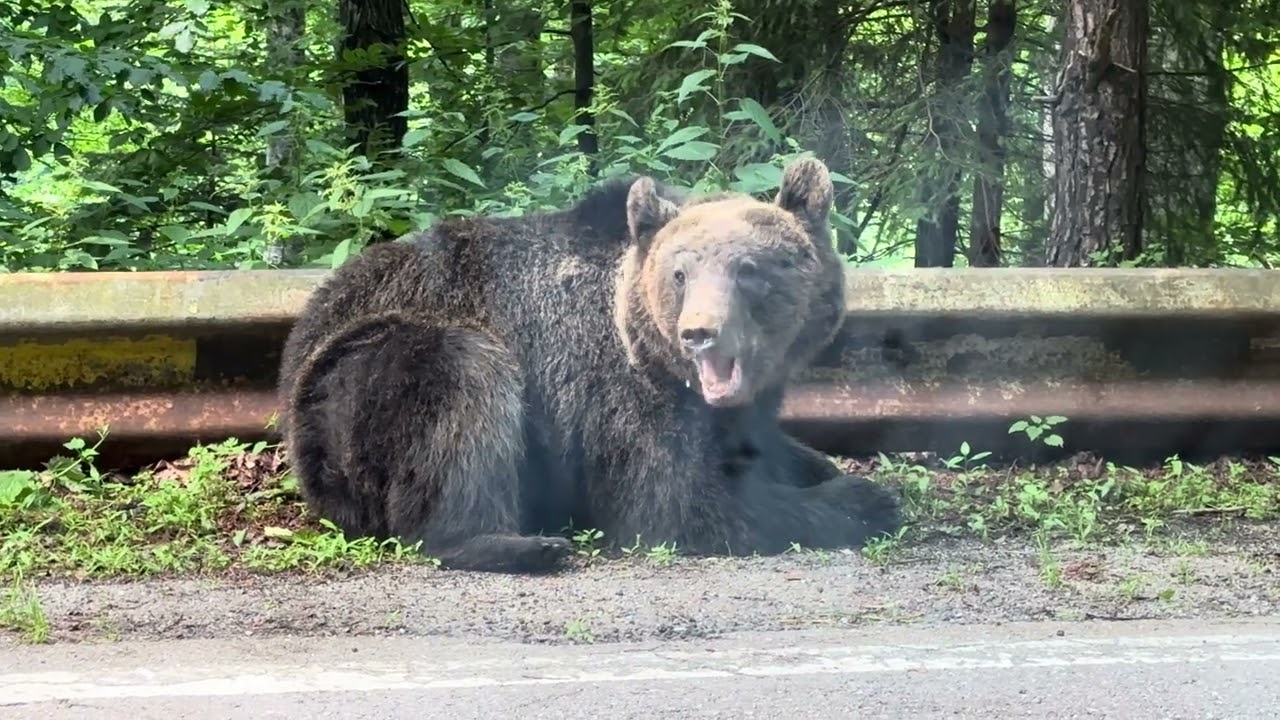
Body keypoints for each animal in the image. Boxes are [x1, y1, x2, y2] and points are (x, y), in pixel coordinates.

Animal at [276, 156, 901, 574]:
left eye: (749, 269)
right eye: (681, 273)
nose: (699, 333)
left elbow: (763, 448)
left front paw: (831, 470)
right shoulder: (613, 389)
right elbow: (675, 501)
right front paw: (864, 498)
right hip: (364, 378)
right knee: (464, 386)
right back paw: (516, 543)